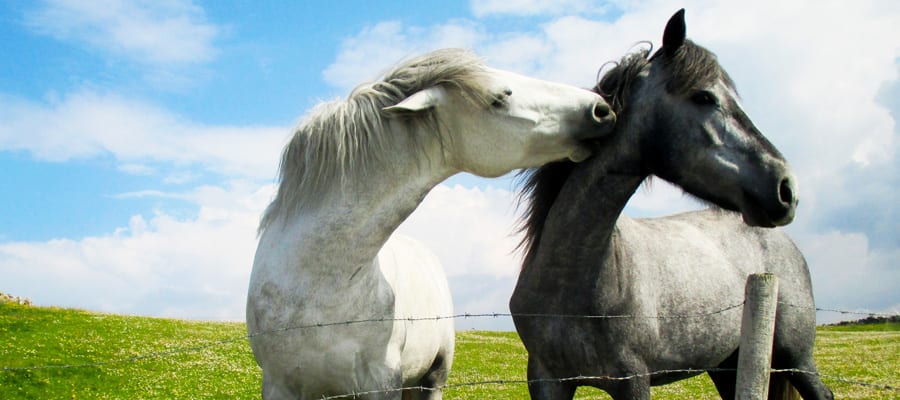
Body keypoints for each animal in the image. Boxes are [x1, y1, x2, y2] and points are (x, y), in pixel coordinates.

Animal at [246, 48, 620, 398]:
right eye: (499, 98)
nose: (601, 109)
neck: (317, 283)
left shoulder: (381, 383)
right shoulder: (278, 386)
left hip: (432, 379)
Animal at [510, 8, 832, 400]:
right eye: (704, 97)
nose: (786, 188)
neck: (570, 281)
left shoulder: (632, 380)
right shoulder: (546, 379)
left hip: (795, 357)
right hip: (727, 365)